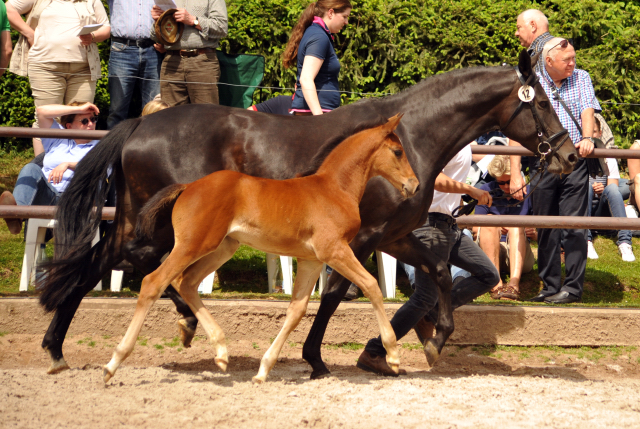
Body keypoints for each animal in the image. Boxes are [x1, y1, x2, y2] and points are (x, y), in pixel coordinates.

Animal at [102, 113, 418, 382]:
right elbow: (372, 286)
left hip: (222, 248)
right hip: (193, 245)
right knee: (153, 282)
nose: (414, 185)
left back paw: (221, 352)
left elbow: (296, 310)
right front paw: (393, 356)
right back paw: (113, 363)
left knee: (187, 282)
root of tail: (187, 187)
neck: (334, 188)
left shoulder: (312, 260)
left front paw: (264, 370)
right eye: (398, 151)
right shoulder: (335, 250)